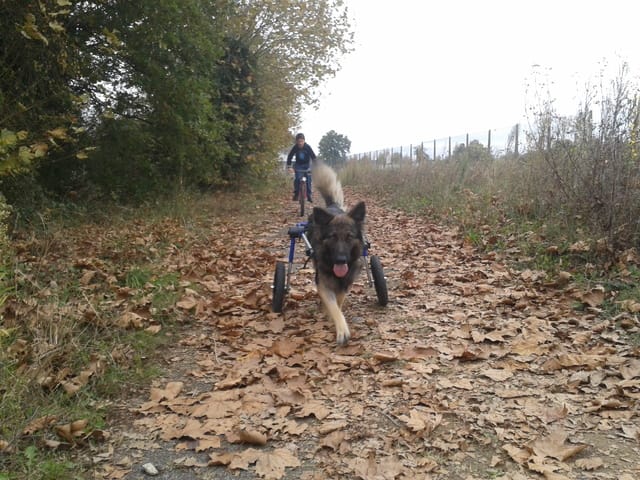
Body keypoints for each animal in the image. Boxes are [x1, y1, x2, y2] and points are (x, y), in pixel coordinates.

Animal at [307, 163, 365, 345]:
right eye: (332, 237)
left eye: (349, 237)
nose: (341, 259)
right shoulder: (323, 283)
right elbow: (333, 307)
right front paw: (341, 329)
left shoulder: (345, 283)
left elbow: (338, 302)